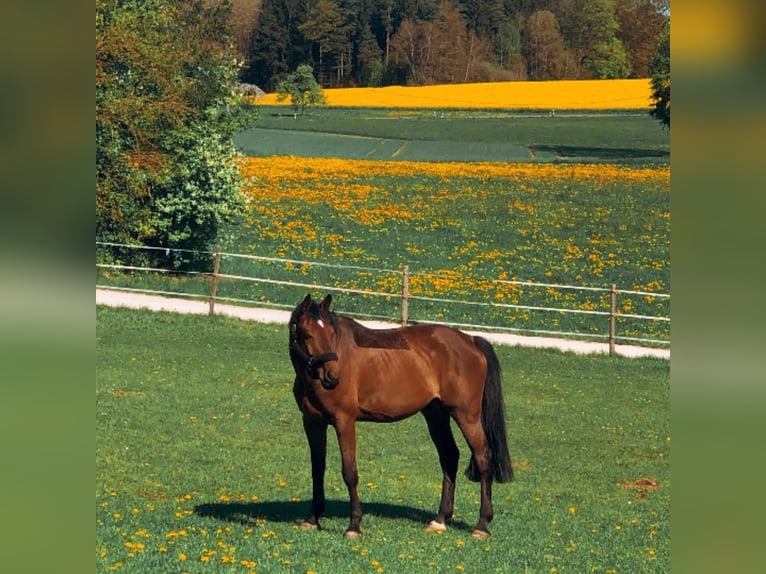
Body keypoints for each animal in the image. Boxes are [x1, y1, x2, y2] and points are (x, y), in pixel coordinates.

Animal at [288, 294, 514, 539]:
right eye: (307, 334)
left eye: (331, 333)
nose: (332, 377)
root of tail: (471, 340)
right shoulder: (312, 423)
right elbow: (317, 469)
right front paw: (312, 519)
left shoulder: (344, 421)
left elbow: (350, 472)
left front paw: (354, 525)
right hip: (436, 414)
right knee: (449, 456)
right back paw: (440, 519)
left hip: (467, 416)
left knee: (483, 459)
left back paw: (482, 525)